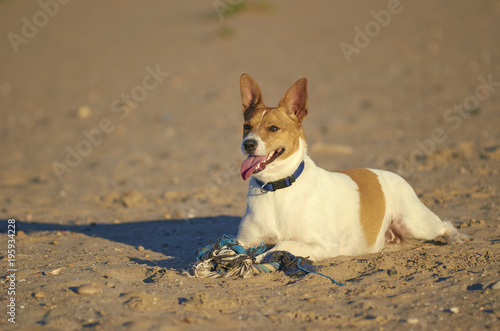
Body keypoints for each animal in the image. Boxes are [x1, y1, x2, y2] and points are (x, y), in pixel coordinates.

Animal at [236, 74, 466, 264]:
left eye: (273, 128)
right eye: (246, 126)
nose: (248, 144)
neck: (276, 187)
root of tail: (396, 176)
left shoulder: (325, 244)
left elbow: (282, 245)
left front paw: (257, 258)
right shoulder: (244, 240)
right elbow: (236, 249)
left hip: (414, 222)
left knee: (444, 224)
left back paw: (456, 238)